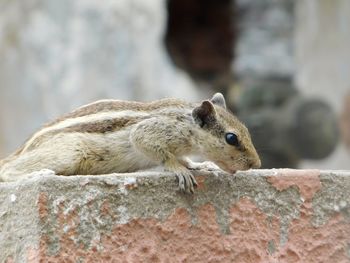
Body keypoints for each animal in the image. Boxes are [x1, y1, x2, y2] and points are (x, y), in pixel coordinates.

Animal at [0, 93, 260, 194]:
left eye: (246, 131)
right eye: (231, 138)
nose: (256, 164)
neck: (186, 122)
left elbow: (185, 158)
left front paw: (199, 165)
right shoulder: (150, 131)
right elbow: (159, 151)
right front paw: (179, 169)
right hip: (69, 152)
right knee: (8, 171)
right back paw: (38, 174)